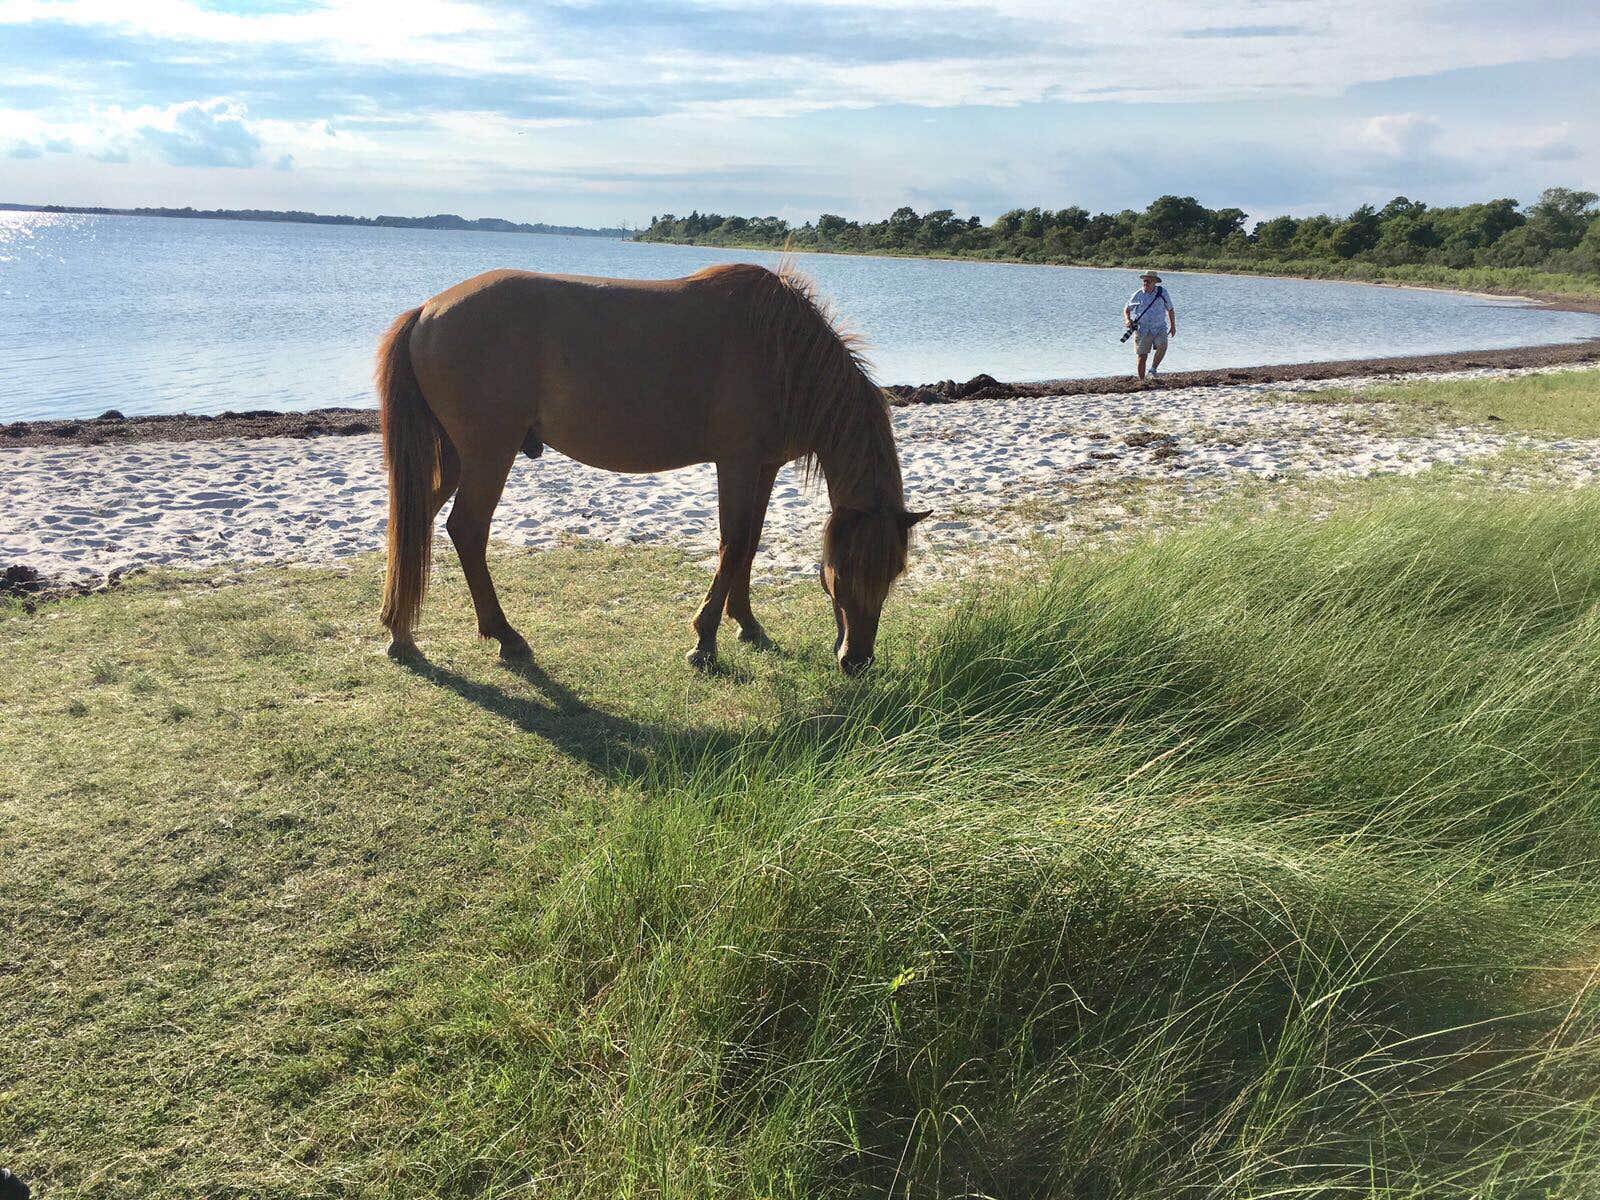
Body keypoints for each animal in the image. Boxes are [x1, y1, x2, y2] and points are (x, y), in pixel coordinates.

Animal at [375, 261, 929, 675]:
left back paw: (401, 631)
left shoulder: (764, 467)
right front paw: (704, 643)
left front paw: (746, 624)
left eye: (894, 570)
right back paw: (504, 636)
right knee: (466, 530)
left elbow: (750, 544)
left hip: (459, 458)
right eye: (842, 570)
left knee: (418, 520)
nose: (857, 660)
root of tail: (426, 311)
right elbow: (732, 544)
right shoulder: (737, 462)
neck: (783, 353)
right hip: (489, 454)